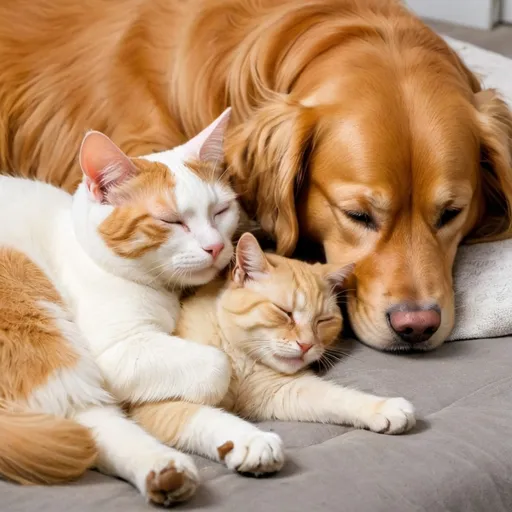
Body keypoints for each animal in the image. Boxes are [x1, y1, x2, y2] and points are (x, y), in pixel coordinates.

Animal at [0, 108, 239, 504]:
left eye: (221, 210)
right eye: (171, 220)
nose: (216, 246)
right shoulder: (115, 351)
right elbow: (217, 364)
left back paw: (166, 471)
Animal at [131, 234, 416, 478]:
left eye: (323, 320)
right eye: (284, 312)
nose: (306, 345)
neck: (240, 360)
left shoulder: (282, 391)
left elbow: (337, 397)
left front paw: (383, 407)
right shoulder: (156, 405)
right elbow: (207, 417)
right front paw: (251, 441)